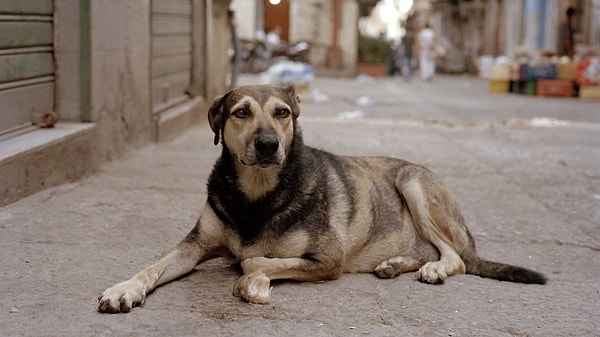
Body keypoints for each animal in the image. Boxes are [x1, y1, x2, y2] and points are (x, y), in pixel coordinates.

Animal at [96, 84, 548, 312]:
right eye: (241, 112)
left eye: (282, 113)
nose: (267, 145)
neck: (256, 194)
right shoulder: (195, 244)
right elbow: (154, 266)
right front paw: (125, 289)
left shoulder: (329, 259)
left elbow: (255, 260)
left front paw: (253, 281)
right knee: (430, 251)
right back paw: (396, 263)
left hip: (413, 183)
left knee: (455, 257)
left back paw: (434, 268)